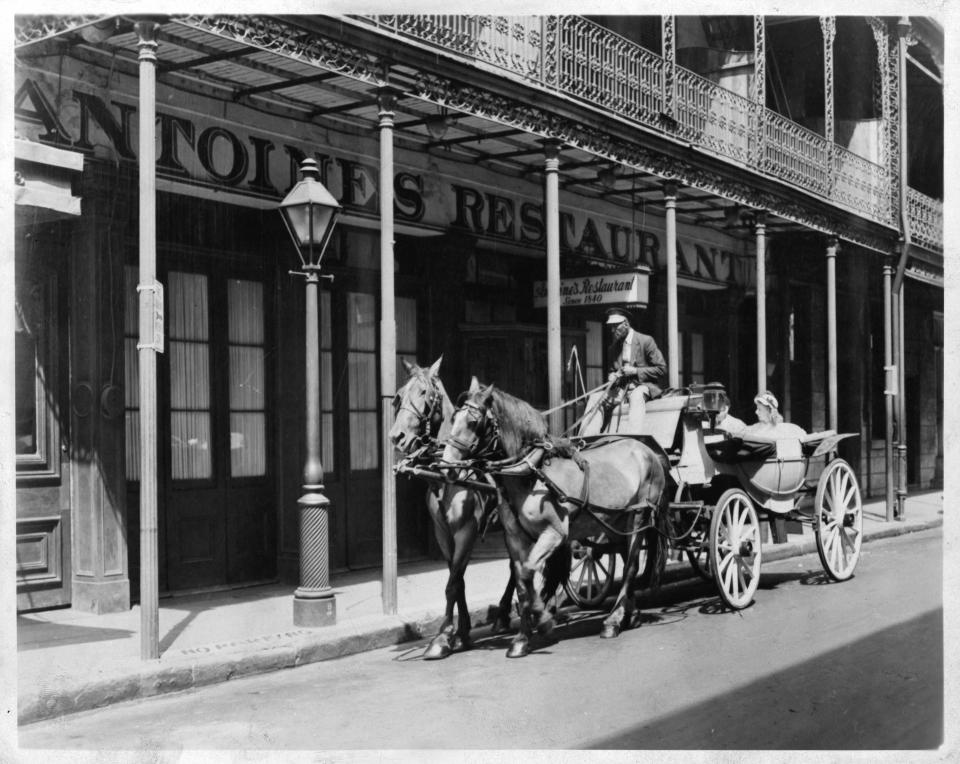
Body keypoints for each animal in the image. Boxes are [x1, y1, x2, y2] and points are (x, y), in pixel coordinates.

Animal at [386, 358, 516, 656]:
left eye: (424, 393)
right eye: (399, 394)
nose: (397, 436)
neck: (447, 474)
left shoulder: (466, 531)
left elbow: (453, 583)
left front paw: (443, 638)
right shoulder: (443, 533)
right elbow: (458, 580)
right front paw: (462, 631)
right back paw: (504, 614)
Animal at [442, 380, 668, 660]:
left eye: (474, 422)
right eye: (453, 418)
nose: (447, 466)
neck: (530, 473)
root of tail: (647, 450)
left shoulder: (554, 534)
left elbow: (529, 570)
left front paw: (542, 618)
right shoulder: (515, 538)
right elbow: (521, 581)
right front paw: (521, 639)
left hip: (639, 516)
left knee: (631, 567)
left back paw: (613, 620)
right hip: (616, 523)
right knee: (628, 560)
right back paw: (631, 614)